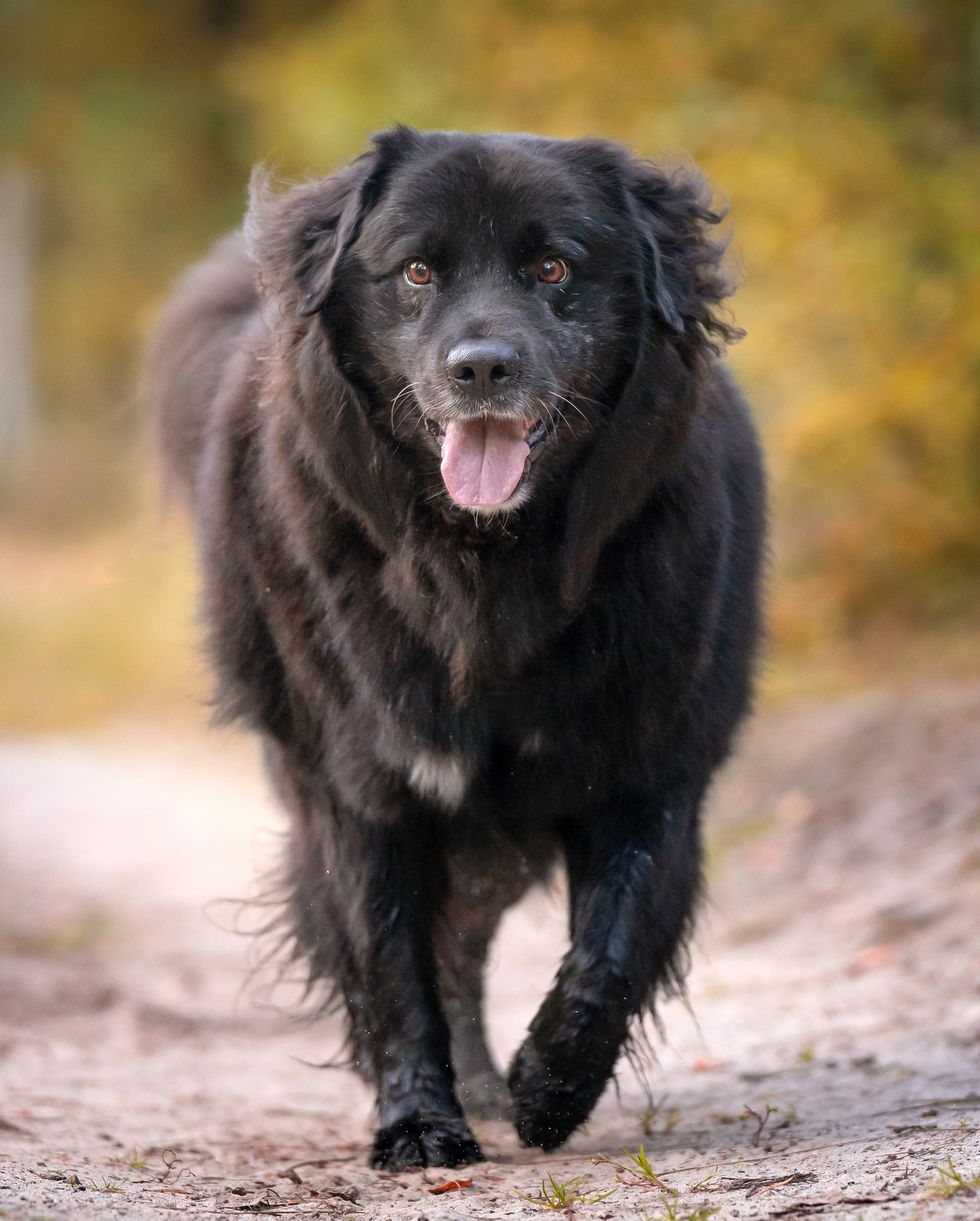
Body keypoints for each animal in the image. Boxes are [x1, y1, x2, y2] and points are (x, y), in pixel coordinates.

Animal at [151, 126, 766, 1172]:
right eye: (417, 271)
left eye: (554, 268)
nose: (482, 366)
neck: (485, 569)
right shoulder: (359, 784)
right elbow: (390, 962)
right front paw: (418, 1122)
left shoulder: (649, 767)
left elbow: (615, 939)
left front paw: (550, 1086)